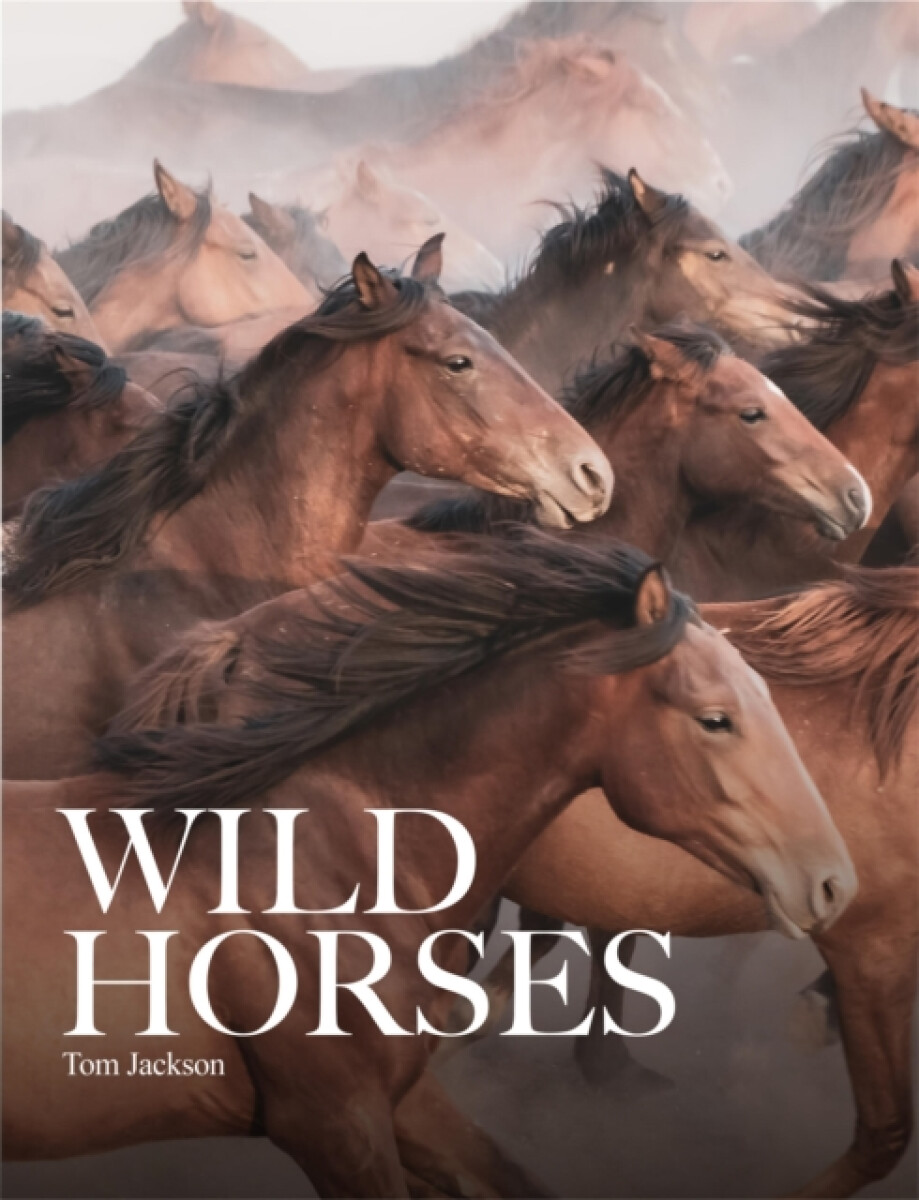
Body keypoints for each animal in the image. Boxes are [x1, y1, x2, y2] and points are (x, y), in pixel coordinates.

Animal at [4, 531, 856, 1198]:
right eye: (715, 719)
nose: (832, 882)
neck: (335, 865)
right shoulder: (333, 1124)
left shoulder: (403, 1100)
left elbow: (515, 1178)